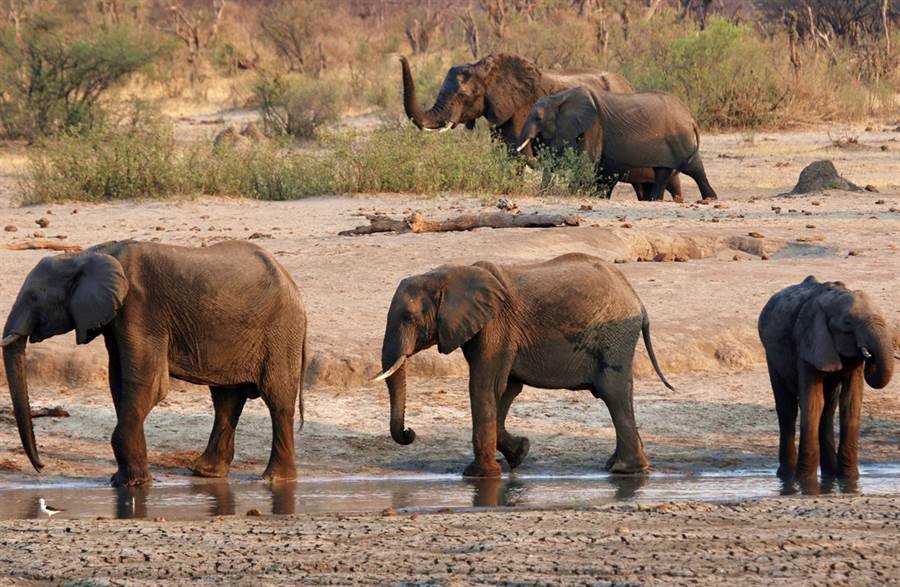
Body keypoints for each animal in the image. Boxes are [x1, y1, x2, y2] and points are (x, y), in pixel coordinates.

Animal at [2, 240, 307, 487]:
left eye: (34, 297)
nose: (40, 467)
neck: (89, 254)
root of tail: (292, 284)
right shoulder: (117, 317)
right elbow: (119, 382)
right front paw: (125, 480)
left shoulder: (140, 308)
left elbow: (149, 384)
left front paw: (131, 484)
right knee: (226, 398)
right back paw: (205, 472)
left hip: (281, 331)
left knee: (277, 399)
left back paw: (275, 478)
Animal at [372, 253, 673, 478]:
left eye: (409, 317)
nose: (410, 433)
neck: (447, 275)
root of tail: (638, 300)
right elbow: (506, 390)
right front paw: (520, 453)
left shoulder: (496, 327)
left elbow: (484, 386)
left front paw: (478, 475)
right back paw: (619, 465)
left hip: (615, 337)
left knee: (613, 391)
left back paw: (625, 470)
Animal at [400, 54, 679, 200]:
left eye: (462, 95)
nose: (401, 56)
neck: (487, 68)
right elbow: (502, 153)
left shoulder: (521, 108)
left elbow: (515, 153)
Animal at [517, 86, 718, 202]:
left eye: (538, 118)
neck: (559, 97)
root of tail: (691, 118)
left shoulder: (594, 126)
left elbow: (587, 160)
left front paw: (573, 193)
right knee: (663, 171)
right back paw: (654, 200)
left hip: (680, 138)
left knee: (692, 167)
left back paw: (711, 198)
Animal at [758, 276, 894, 482]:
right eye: (847, 323)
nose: (871, 356)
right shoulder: (807, 343)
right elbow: (813, 403)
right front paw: (805, 482)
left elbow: (850, 402)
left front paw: (849, 479)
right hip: (772, 357)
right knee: (788, 409)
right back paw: (787, 476)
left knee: (828, 409)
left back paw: (830, 474)